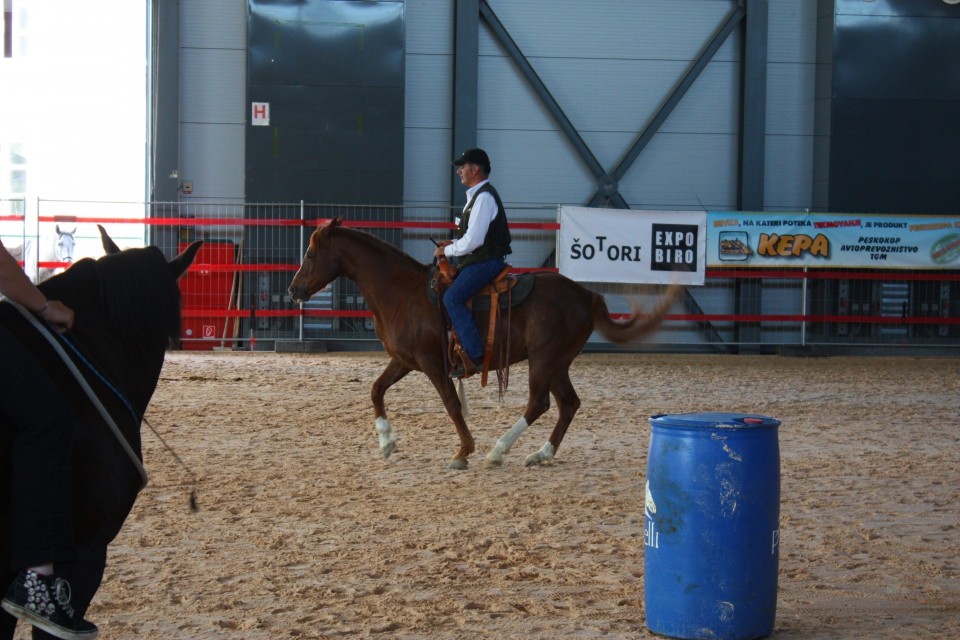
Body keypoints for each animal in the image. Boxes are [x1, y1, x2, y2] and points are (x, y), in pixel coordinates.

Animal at [288, 219, 680, 470]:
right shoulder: (404, 360)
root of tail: (586, 294)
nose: (294, 289)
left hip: (544, 360)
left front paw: (464, 451)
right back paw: (541, 454)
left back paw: (498, 451)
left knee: (539, 403)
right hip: (558, 363)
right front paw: (386, 442)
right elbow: (376, 389)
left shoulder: (432, 364)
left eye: (309, 254)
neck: (401, 292)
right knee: (568, 403)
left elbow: (451, 404)